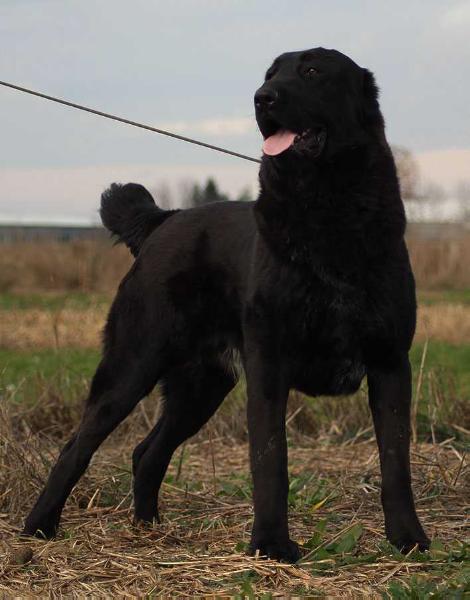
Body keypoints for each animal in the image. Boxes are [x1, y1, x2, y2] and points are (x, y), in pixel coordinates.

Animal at [24, 47, 430, 564]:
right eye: (270, 73)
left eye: (312, 71)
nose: (262, 97)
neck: (327, 207)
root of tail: (163, 220)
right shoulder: (269, 366)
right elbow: (271, 461)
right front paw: (271, 546)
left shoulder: (389, 363)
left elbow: (396, 462)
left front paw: (407, 538)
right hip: (131, 365)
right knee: (76, 446)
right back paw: (38, 527)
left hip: (202, 385)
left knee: (146, 452)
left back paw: (148, 527)